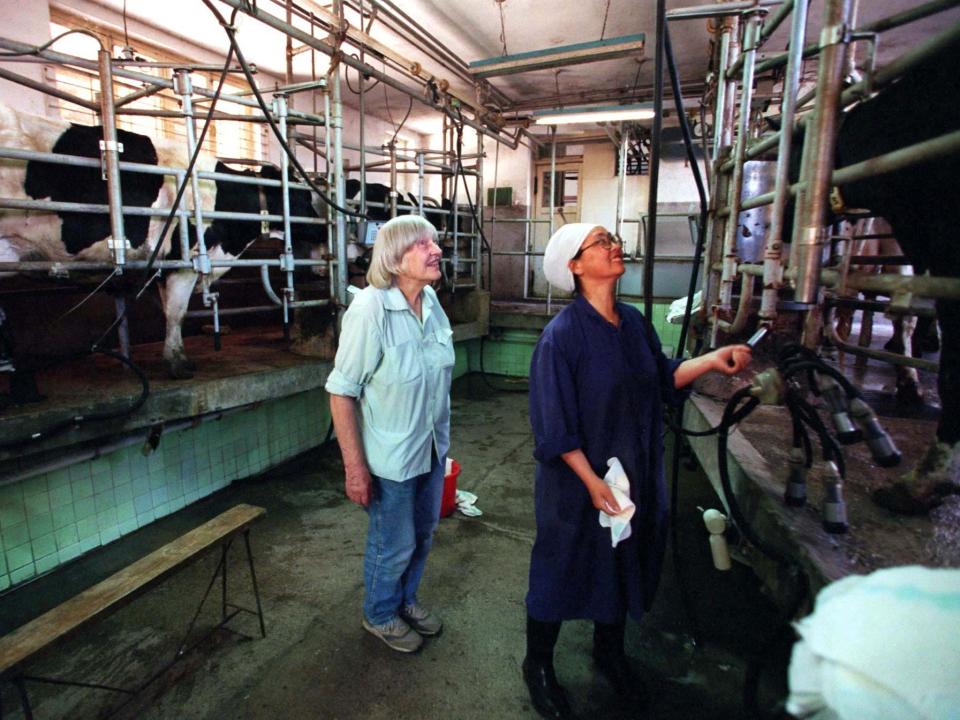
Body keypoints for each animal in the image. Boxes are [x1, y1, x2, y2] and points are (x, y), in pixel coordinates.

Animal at [0, 104, 326, 382]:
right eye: (301, 196)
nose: (324, 228)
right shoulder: (185, 260)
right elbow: (176, 313)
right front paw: (178, 363)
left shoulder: (162, 263)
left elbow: (169, 311)